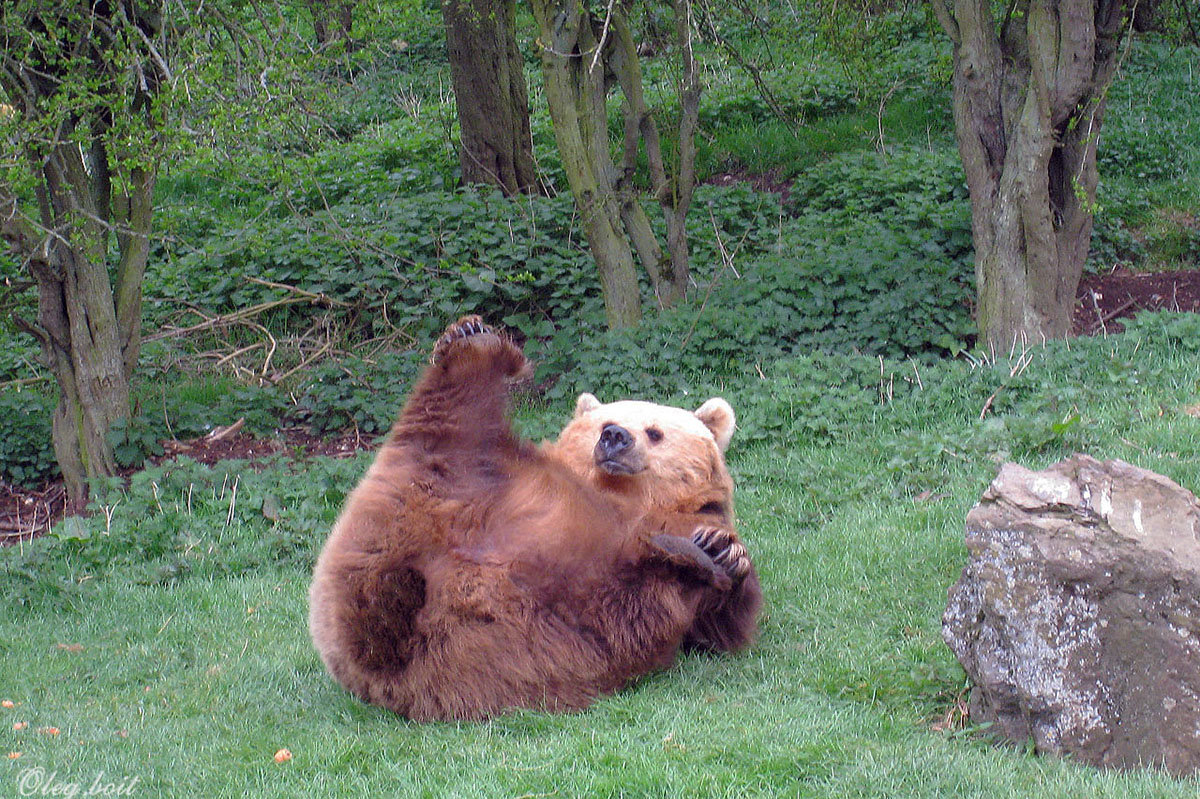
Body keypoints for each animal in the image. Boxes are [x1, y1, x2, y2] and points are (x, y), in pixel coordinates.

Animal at [309, 314, 758, 719]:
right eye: (604, 420)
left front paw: (719, 550)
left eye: (655, 431)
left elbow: (718, 623)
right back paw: (473, 344)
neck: (627, 498)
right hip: (448, 475)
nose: (614, 436)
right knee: (452, 416)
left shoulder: (694, 521)